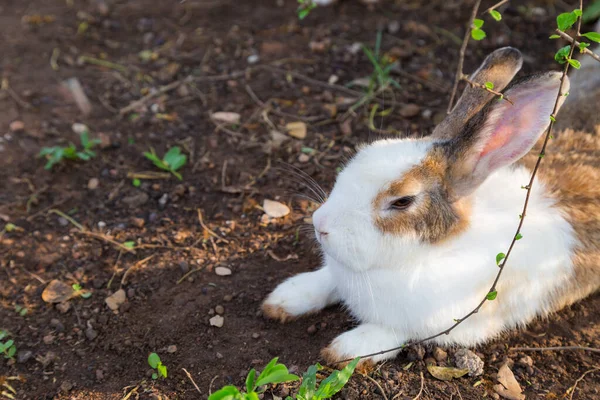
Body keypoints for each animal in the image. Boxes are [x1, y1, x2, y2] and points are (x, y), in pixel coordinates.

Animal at [262, 41, 600, 368]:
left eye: (402, 201)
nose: (320, 225)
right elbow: (325, 280)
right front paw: (283, 300)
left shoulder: (441, 323)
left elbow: (392, 333)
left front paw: (345, 349)